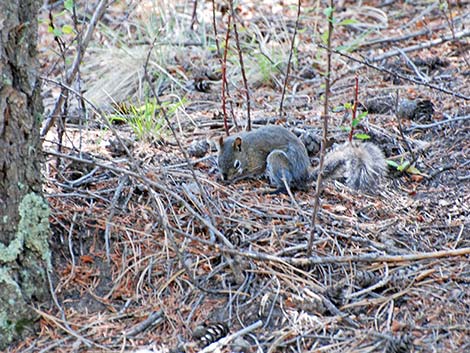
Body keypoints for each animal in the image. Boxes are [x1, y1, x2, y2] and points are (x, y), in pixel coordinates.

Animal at [217, 125, 386, 192]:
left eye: (236, 164)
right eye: (218, 162)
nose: (224, 177)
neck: (246, 149)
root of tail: (303, 174)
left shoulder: (257, 159)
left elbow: (252, 171)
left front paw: (235, 179)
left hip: (276, 159)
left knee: (287, 185)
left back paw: (273, 190)